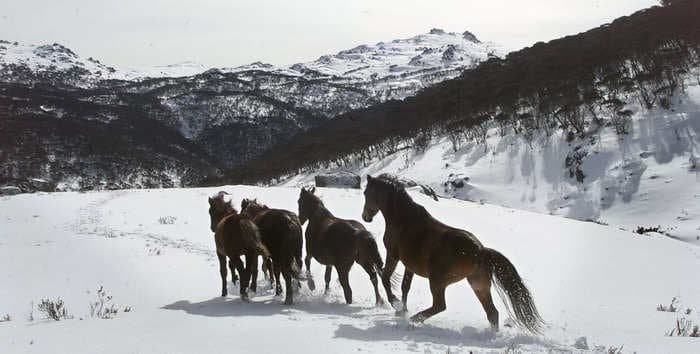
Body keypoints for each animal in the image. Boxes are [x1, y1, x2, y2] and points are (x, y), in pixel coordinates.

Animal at [360, 174, 548, 334]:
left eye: (366, 193)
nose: (365, 217)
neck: (403, 221)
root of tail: (481, 251)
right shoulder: (409, 265)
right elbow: (405, 286)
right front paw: (402, 311)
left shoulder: (393, 255)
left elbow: (386, 278)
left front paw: (397, 305)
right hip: (478, 285)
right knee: (492, 313)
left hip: (438, 281)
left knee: (440, 305)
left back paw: (414, 320)